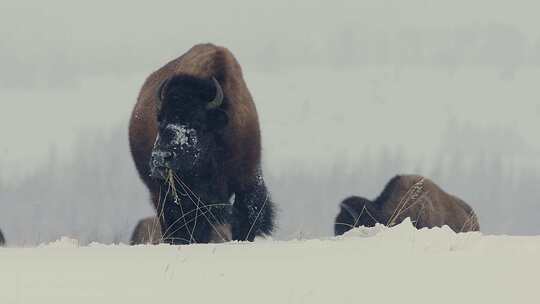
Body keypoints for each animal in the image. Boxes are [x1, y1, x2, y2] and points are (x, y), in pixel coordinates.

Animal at [127, 43, 274, 245]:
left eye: (197, 121)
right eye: (160, 119)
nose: (160, 158)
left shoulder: (248, 178)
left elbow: (247, 216)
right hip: (160, 194)